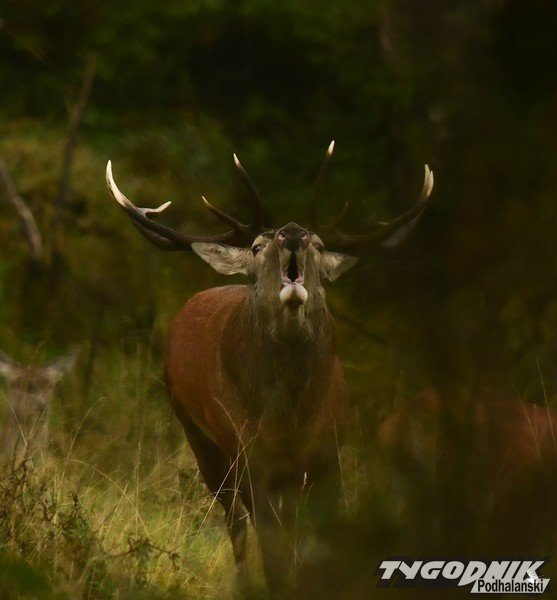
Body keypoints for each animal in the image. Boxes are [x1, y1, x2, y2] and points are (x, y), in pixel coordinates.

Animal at [106, 143, 433, 596]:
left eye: (318, 245)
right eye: (258, 247)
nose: (292, 233)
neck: (291, 418)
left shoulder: (329, 455)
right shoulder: (251, 457)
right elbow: (272, 548)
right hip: (200, 437)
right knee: (235, 522)